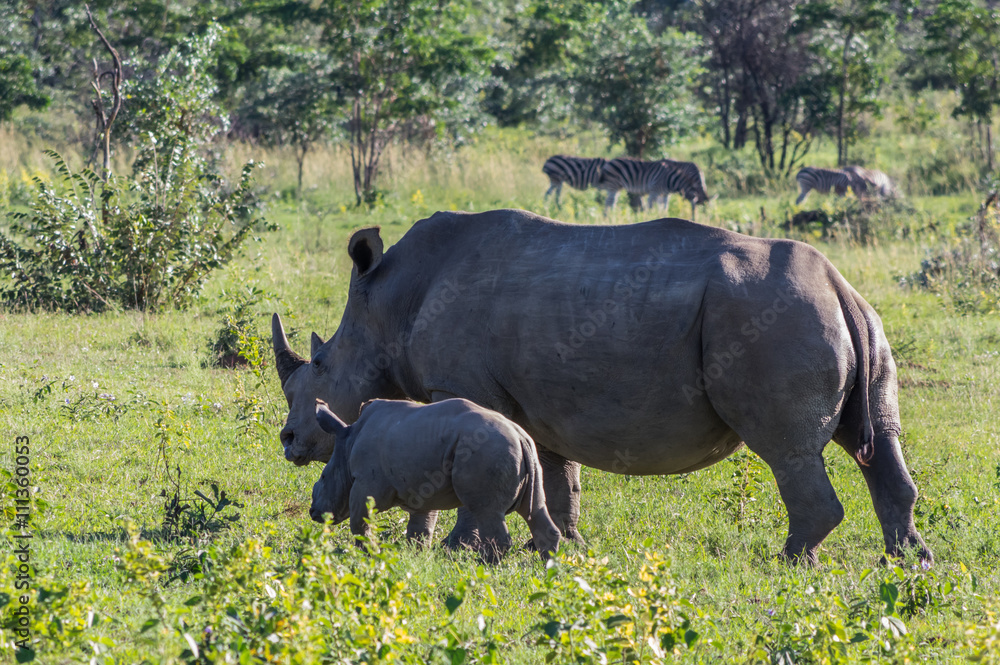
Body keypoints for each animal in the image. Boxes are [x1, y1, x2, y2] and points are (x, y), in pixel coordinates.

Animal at [310, 398, 561, 563]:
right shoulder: (422, 487)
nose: (314, 513)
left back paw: (482, 567)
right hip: (526, 453)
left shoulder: (367, 484)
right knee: (534, 509)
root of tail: (520, 436)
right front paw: (415, 557)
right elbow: (421, 528)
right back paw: (546, 567)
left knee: (487, 511)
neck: (348, 442)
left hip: (488, 451)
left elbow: (360, 523)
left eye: (322, 478)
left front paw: (368, 555)